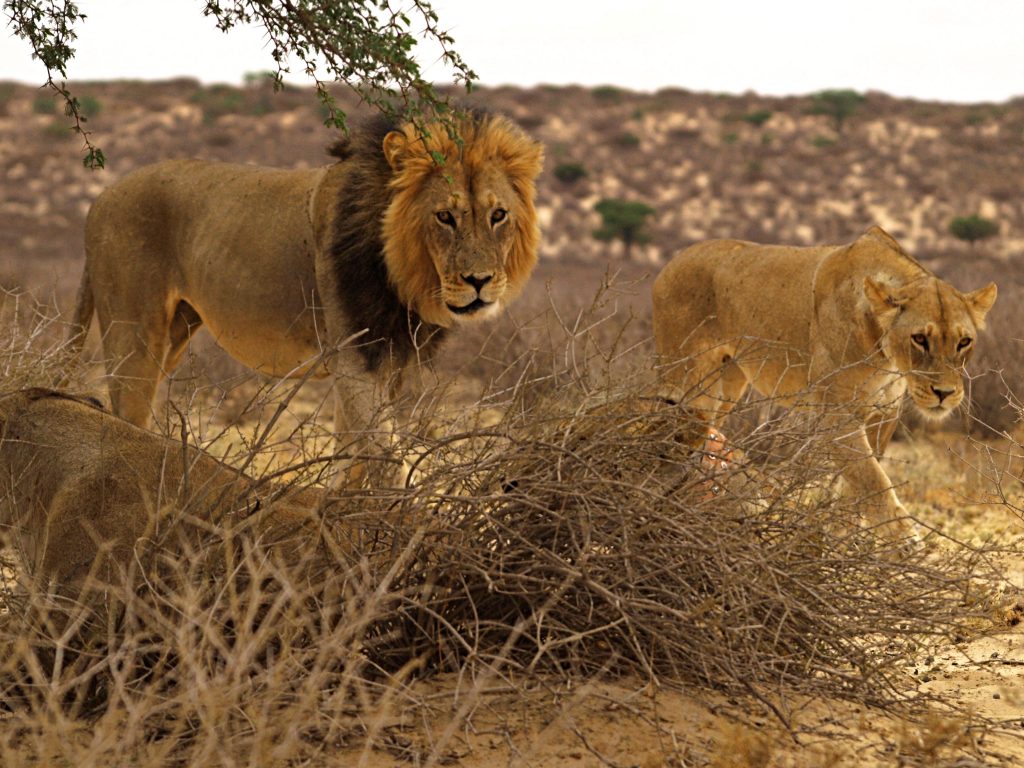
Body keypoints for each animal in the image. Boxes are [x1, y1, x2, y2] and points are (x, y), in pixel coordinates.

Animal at [71, 112, 544, 487]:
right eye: (445, 217)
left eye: (498, 215)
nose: (479, 281)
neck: (405, 274)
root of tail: (99, 199)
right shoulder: (354, 356)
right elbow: (383, 455)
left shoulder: (389, 363)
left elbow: (353, 456)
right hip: (135, 335)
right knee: (125, 414)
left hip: (174, 333)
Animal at [651, 225, 995, 532]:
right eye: (920, 339)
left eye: (964, 342)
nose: (944, 393)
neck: (885, 355)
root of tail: (672, 262)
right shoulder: (836, 415)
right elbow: (872, 479)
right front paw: (904, 544)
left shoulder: (883, 413)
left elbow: (856, 485)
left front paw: (842, 537)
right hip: (685, 380)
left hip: (721, 390)